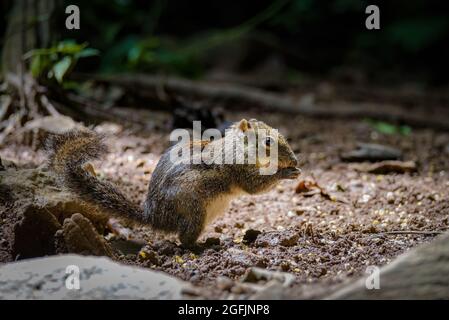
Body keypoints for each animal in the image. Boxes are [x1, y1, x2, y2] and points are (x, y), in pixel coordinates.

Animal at [45, 119, 300, 246]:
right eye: (268, 141)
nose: (295, 159)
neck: (238, 148)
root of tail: (154, 216)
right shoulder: (238, 169)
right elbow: (254, 186)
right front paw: (285, 172)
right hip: (193, 209)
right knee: (183, 240)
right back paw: (202, 245)